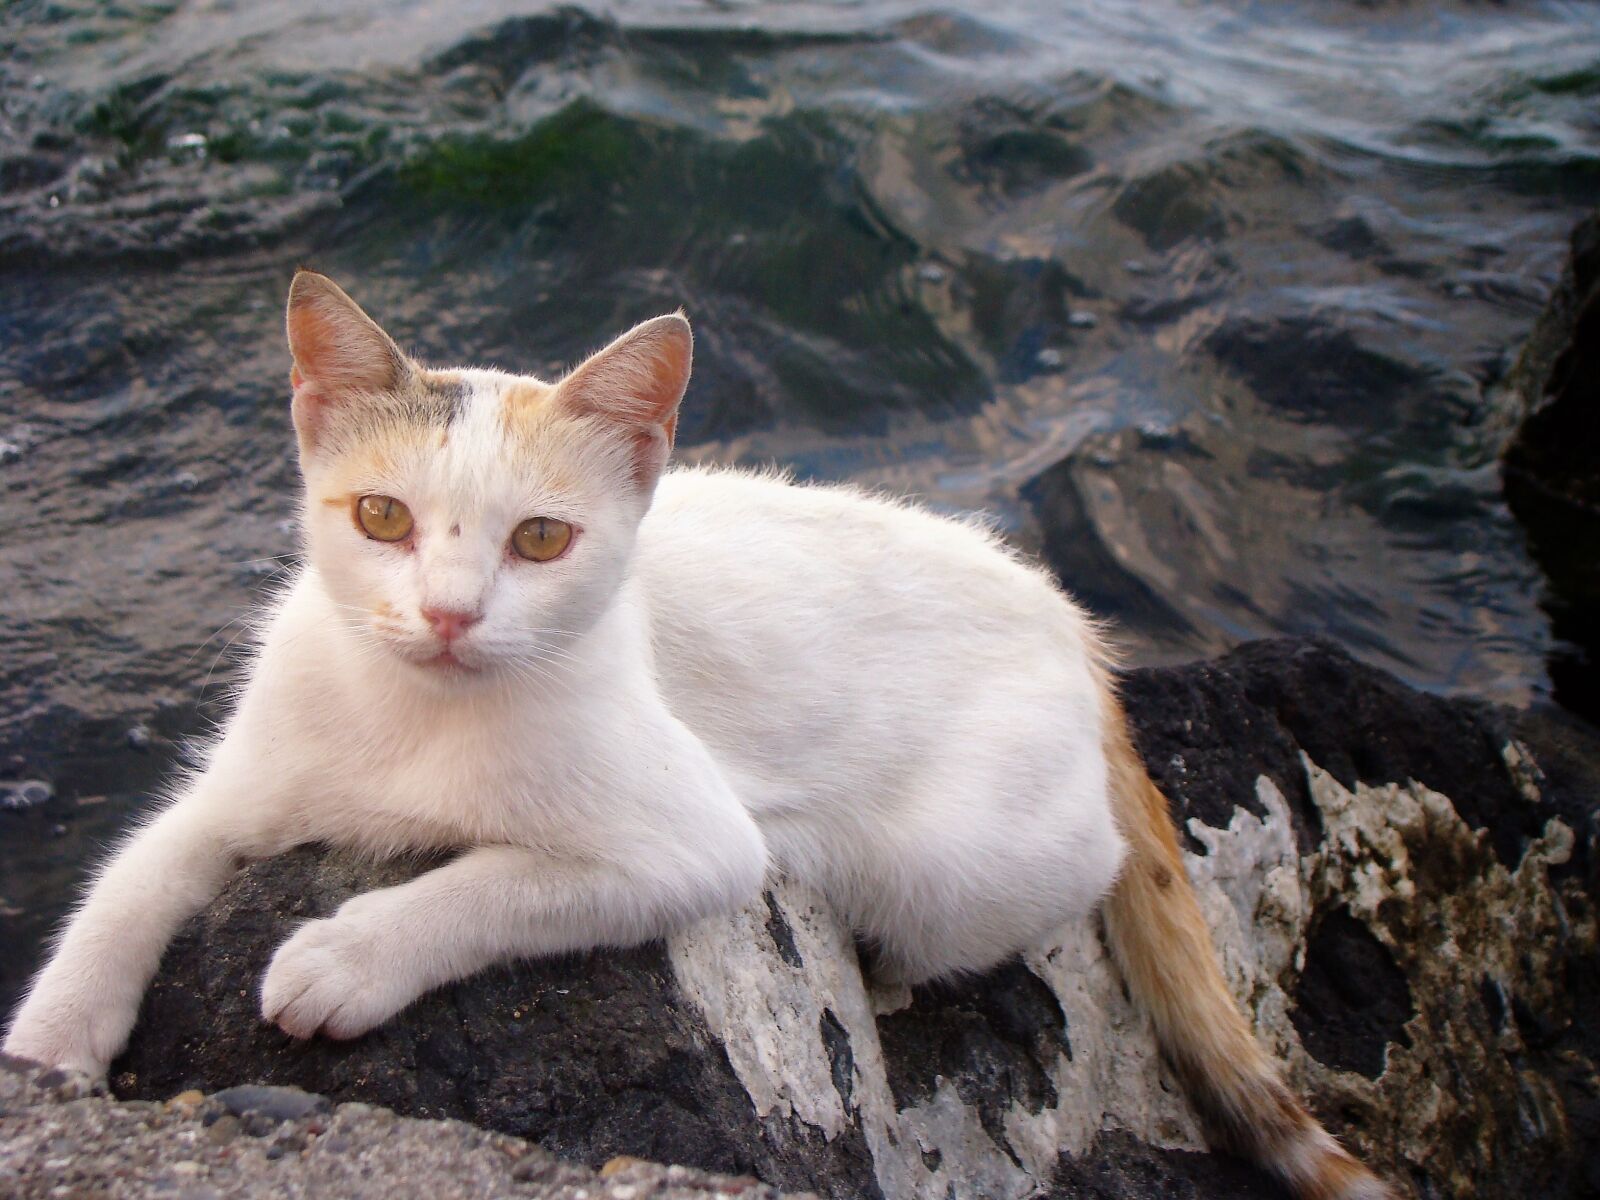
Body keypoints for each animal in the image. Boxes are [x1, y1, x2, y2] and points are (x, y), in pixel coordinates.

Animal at [3, 272, 1388, 1200]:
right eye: (382, 517)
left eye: (541, 539)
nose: (448, 615)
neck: (420, 714)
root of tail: (1072, 626)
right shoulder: (243, 785)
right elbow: (135, 875)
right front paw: (54, 1038)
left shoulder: (692, 844)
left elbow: (490, 884)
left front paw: (348, 954)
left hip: (959, 863)